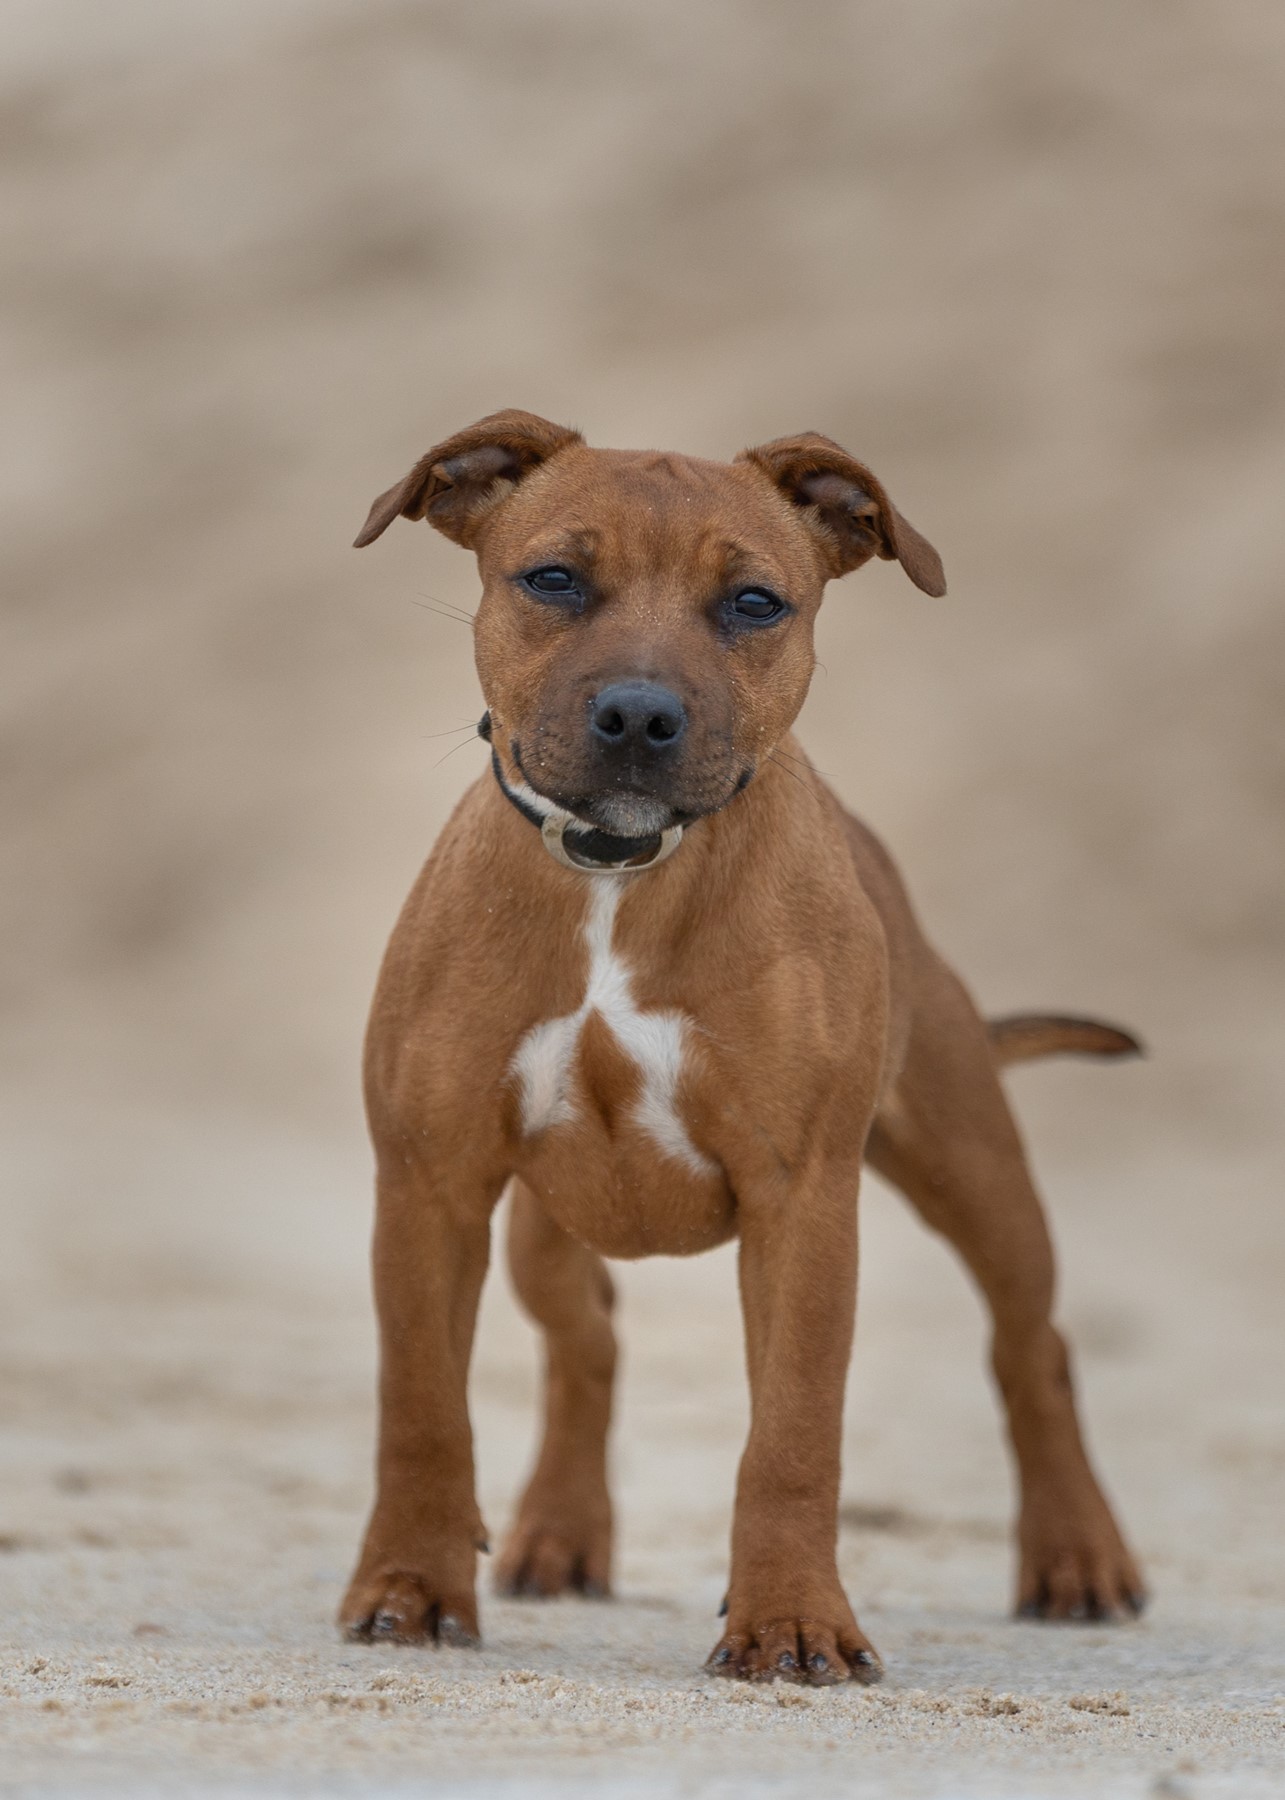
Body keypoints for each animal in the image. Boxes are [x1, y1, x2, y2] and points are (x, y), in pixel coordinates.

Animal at [339, 410, 1144, 1685]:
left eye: (756, 603)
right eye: (552, 579)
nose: (636, 714)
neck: (619, 878)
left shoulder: (801, 1201)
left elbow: (794, 1433)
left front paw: (791, 1622)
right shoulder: (429, 1184)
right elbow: (420, 1408)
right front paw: (410, 1589)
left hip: (976, 1172)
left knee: (1034, 1350)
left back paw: (1077, 1559)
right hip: (540, 1231)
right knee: (585, 1341)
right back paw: (559, 1535)